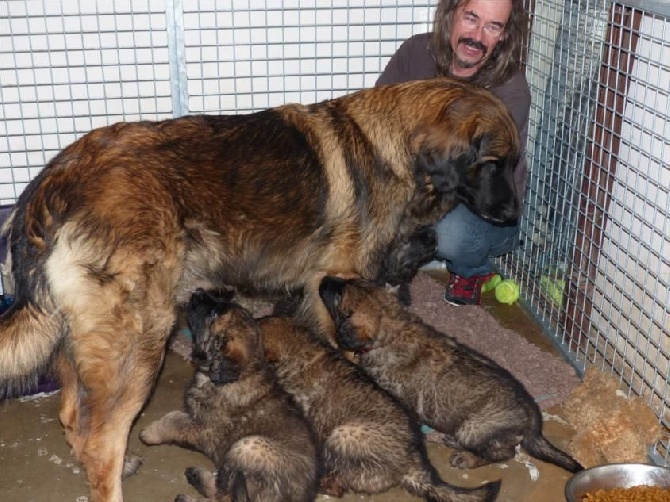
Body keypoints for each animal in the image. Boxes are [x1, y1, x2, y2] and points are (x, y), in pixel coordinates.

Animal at [140, 288, 320, 502]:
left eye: (213, 314)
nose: (199, 291)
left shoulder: (203, 427)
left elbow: (173, 419)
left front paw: (150, 433)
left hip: (247, 445)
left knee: (224, 494)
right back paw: (197, 476)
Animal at [255, 312, 502, 500]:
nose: (250, 316)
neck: (302, 349)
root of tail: (412, 464)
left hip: (343, 434)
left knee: (340, 484)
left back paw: (325, 482)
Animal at [318, 274, 584, 474]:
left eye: (339, 297)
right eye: (349, 280)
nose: (324, 278)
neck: (392, 329)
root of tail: (533, 421)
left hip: (473, 428)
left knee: (504, 453)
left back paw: (466, 458)